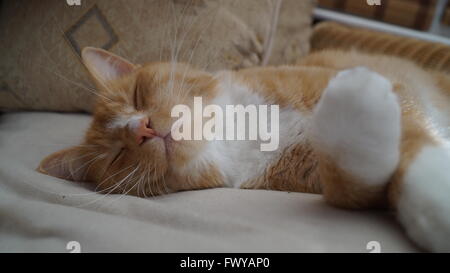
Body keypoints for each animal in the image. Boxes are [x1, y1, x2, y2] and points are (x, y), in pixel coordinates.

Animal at [37, 46, 450, 251]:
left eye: (137, 96)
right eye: (116, 156)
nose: (141, 129)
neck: (240, 135)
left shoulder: (403, 94)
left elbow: (414, 134)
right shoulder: (327, 177)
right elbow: (353, 181)